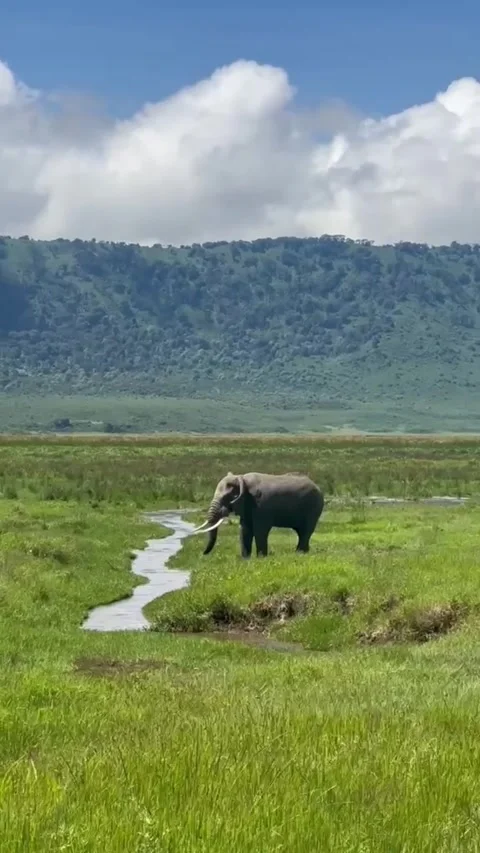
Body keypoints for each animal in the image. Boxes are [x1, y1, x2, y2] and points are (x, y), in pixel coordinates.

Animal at [191, 471, 324, 558]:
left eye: (227, 498)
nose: (202, 554)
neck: (241, 478)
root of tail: (317, 486)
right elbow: (245, 530)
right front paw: (245, 559)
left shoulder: (261, 504)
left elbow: (260, 530)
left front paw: (261, 558)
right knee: (301, 532)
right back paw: (303, 553)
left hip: (314, 507)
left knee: (306, 531)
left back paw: (299, 554)